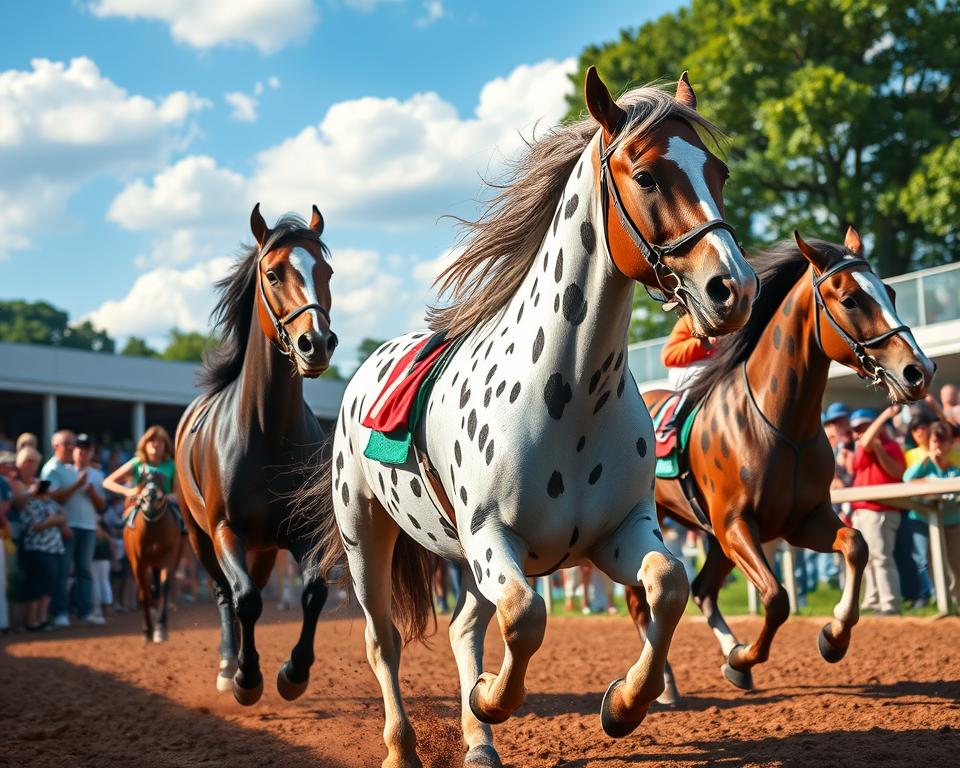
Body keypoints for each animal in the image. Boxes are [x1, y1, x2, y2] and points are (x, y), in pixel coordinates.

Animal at [123, 474, 183, 640]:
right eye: (143, 479)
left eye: (162, 479)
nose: (150, 498)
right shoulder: (138, 562)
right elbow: (144, 592)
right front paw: (146, 628)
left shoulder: (170, 557)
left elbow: (165, 586)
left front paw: (161, 627)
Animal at [176, 206, 338, 708]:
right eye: (273, 273)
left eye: (326, 272)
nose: (316, 343)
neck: (267, 432)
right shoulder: (225, 530)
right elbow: (244, 599)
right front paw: (247, 678)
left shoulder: (305, 532)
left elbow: (313, 591)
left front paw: (293, 673)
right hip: (199, 538)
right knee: (225, 594)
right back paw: (229, 665)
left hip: (264, 547)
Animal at [300, 69, 756, 764]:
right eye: (647, 175)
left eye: (719, 172)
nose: (733, 288)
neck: (568, 398)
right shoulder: (493, 537)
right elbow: (526, 615)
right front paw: (492, 696)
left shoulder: (618, 530)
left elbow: (668, 584)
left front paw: (623, 704)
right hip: (366, 534)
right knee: (385, 640)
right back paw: (404, 745)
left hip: (459, 559)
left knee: (464, 626)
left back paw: (478, 742)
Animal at [628, 225, 932, 700]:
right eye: (850, 300)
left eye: (892, 292)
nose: (919, 371)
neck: (778, 425)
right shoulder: (736, 524)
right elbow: (776, 598)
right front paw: (744, 657)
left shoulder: (800, 519)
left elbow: (856, 545)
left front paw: (832, 636)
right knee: (642, 600)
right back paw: (667, 684)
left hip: (712, 537)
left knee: (703, 589)